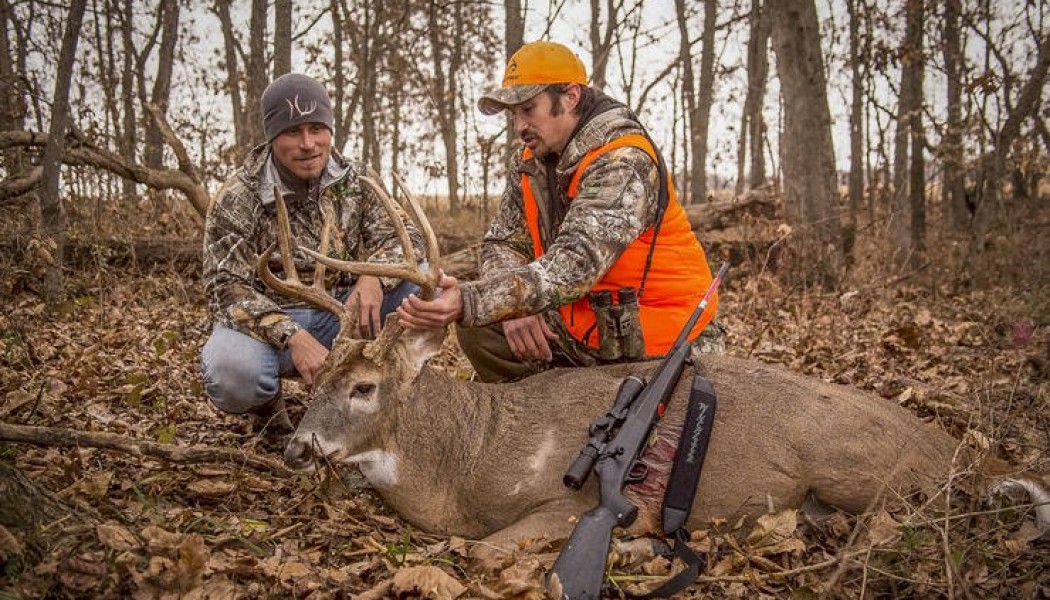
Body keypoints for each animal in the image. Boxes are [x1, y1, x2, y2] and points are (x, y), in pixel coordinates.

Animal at [260, 175, 1049, 565]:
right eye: (315, 382)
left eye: (365, 388)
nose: (296, 448)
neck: (463, 460)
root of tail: (965, 455)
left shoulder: (559, 503)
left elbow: (479, 551)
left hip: (860, 469)